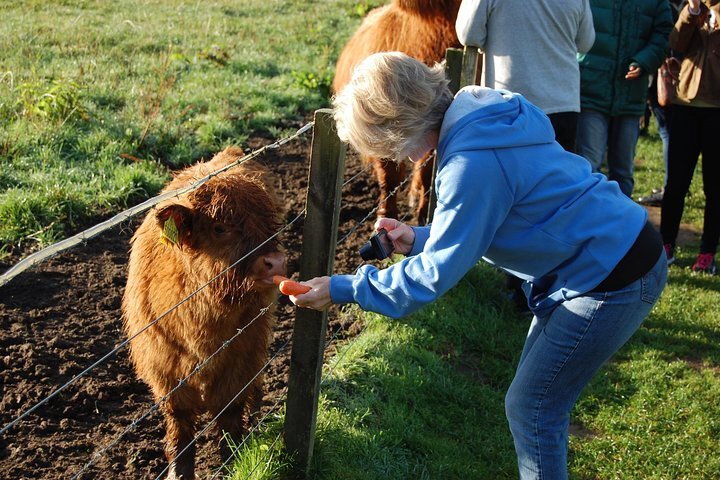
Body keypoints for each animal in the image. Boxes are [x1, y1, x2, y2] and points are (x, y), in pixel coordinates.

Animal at [122, 147, 286, 480]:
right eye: (219, 228)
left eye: (270, 222)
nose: (275, 262)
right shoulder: (165, 367)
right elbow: (181, 422)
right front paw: (179, 471)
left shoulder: (242, 353)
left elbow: (230, 409)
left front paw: (233, 460)